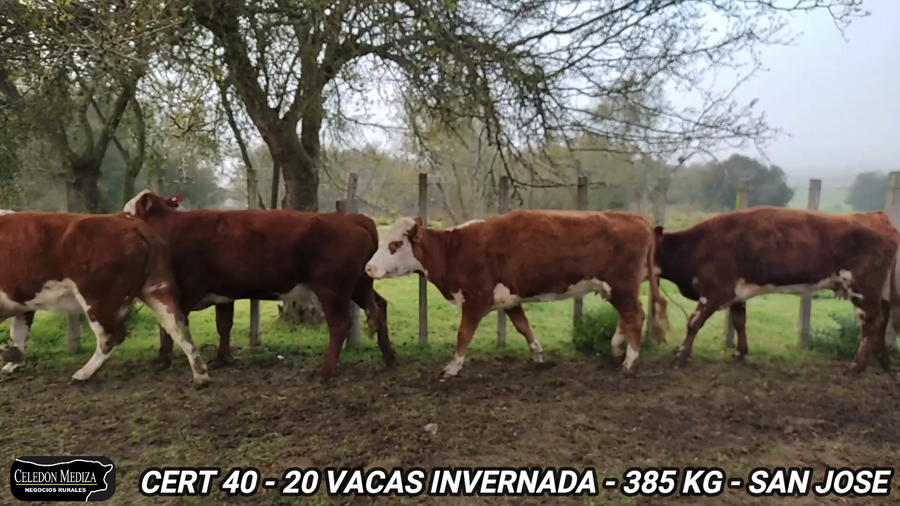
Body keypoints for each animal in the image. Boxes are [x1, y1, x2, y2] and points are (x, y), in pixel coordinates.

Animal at [0, 211, 209, 385]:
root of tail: (132, 224)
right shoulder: (22, 302)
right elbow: (19, 332)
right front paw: (13, 359)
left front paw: (9, 356)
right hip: (156, 288)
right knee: (177, 324)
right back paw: (200, 374)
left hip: (97, 299)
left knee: (111, 336)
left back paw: (82, 374)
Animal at [123, 191, 396, 376]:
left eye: (128, 213)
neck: (171, 228)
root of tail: (352, 218)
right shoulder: (224, 293)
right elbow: (224, 326)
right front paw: (222, 358)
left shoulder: (180, 293)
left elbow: (170, 326)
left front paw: (163, 360)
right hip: (359, 285)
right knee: (379, 307)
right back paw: (389, 356)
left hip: (332, 289)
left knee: (339, 325)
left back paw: (325, 371)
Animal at [365, 210, 669, 379]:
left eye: (395, 244)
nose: (368, 267)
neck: (454, 249)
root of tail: (634, 217)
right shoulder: (509, 300)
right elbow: (523, 327)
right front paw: (538, 356)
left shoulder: (476, 300)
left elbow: (463, 334)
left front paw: (452, 368)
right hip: (618, 288)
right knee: (628, 317)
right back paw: (617, 348)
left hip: (622, 286)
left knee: (635, 316)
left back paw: (629, 360)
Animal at [654, 206, 900, 373]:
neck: (697, 246)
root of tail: (877, 217)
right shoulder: (737, 293)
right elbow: (739, 321)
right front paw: (739, 352)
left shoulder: (717, 291)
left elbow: (694, 322)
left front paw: (681, 356)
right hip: (879, 291)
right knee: (883, 318)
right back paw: (883, 361)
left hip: (862, 288)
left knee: (871, 323)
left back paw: (857, 365)